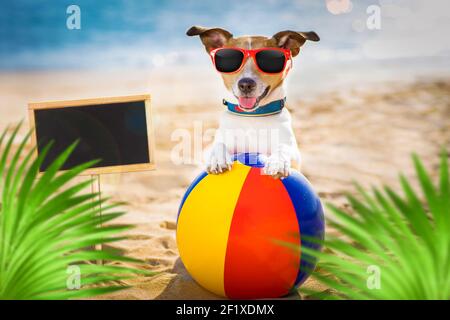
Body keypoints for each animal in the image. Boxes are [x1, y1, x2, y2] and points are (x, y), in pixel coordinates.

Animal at [186, 25, 320, 178]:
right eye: (229, 60)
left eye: (270, 61)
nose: (246, 84)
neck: (253, 116)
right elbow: (218, 145)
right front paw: (217, 158)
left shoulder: (294, 153)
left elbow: (284, 147)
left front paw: (278, 162)